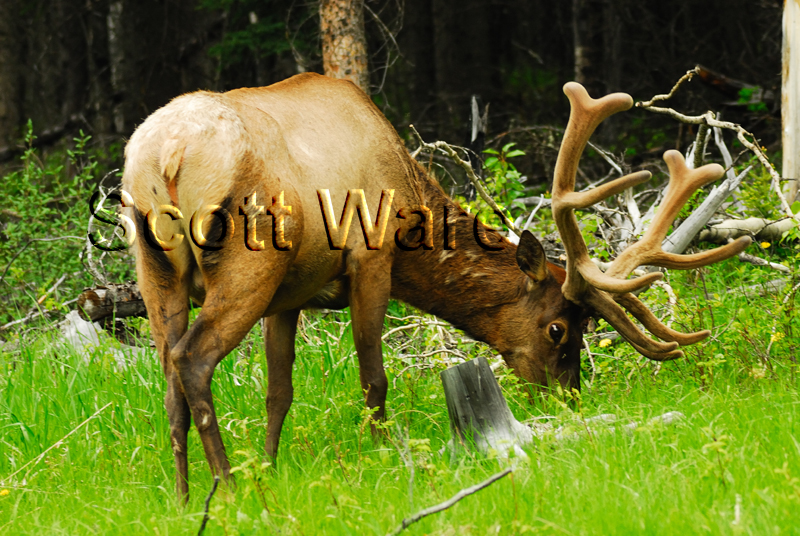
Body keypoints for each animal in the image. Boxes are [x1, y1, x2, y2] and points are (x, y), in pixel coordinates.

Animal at [120, 73, 750, 501]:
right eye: (559, 328)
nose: (568, 396)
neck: (409, 205)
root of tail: (164, 155)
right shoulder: (369, 258)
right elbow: (374, 378)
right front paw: (382, 457)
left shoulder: (291, 295)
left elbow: (280, 392)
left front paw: (271, 469)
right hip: (249, 259)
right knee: (192, 359)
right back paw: (226, 487)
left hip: (154, 268)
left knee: (169, 370)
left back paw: (184, 496)